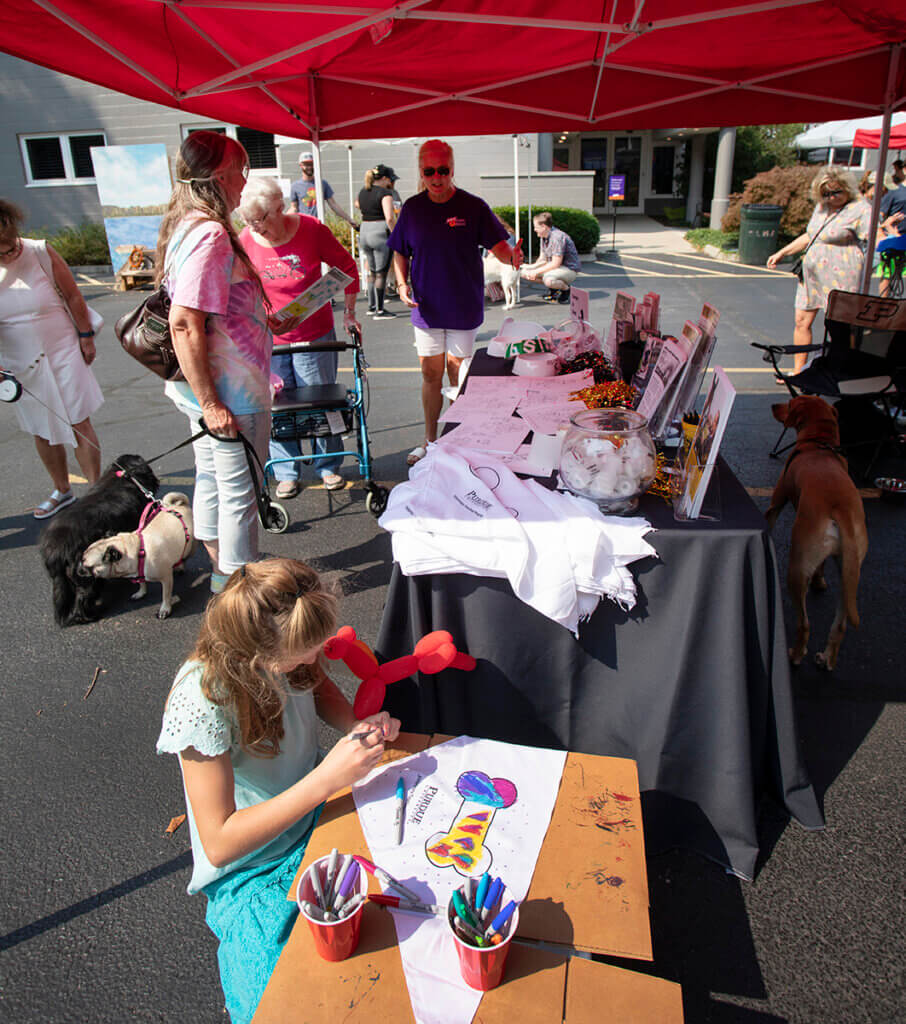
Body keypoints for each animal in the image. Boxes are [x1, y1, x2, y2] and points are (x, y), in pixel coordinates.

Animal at [765, 393, 868, 671]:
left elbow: (769, 520)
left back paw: (795, 654)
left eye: (790, 404)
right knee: (841, 625)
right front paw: (820, 581)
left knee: (805, 623)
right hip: (849, 574)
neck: (819, 444)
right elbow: (821, 566)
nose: (773, 405)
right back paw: (827, 659)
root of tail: (840, 509)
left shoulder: (776, 501)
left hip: (797, 566)